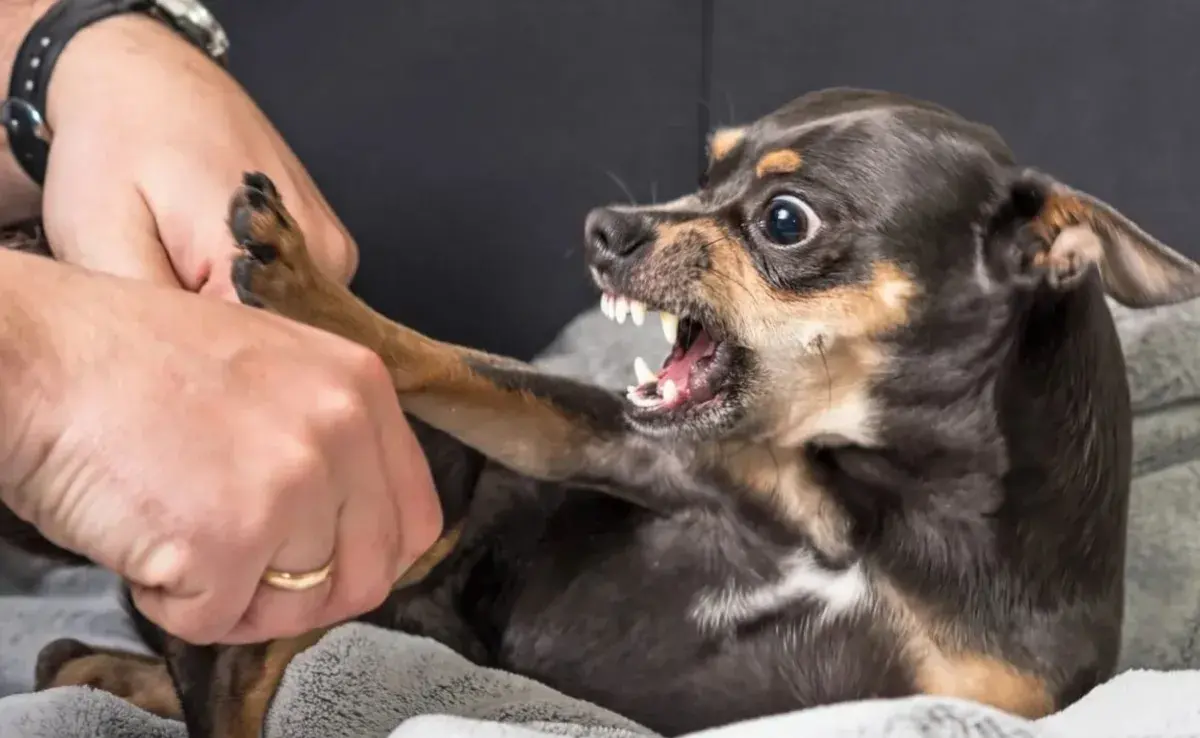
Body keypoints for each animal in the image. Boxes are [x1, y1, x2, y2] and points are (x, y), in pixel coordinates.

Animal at [14, 88, 1200, 738]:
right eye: (703, 171)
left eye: (784, 219)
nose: (606, 226)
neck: (876, 506)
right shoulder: (616, 445)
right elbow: (446, 360)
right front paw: (312, 286)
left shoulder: (969, 701)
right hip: (425, 505)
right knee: (225, 678)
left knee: (171, 673)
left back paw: (95, 668)